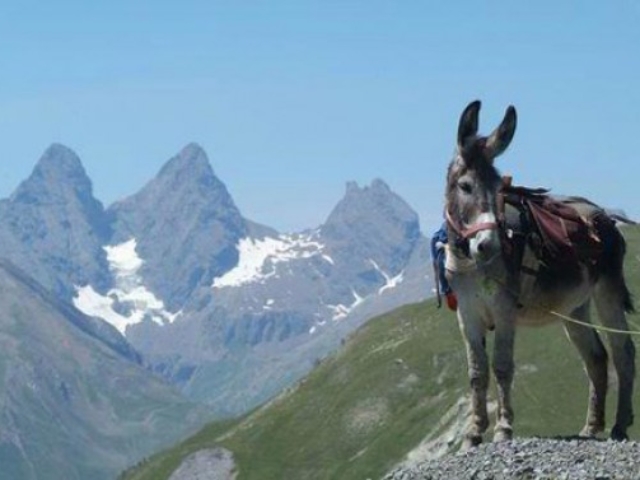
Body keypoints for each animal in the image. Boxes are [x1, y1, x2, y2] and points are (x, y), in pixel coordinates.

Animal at [444, 100, 636, 448]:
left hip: (608, 291)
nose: (489, 245)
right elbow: (476, 372)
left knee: (622, 352)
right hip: (574, 307)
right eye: (465, 186)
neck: (471, 263)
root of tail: (605, 215)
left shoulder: (504, 309)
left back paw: (618, 426)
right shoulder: (466, 314)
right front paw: (473, 433)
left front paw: (503, 429)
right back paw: (591, 427)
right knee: (596, 357)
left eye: (500, 189)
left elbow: (502, 366)